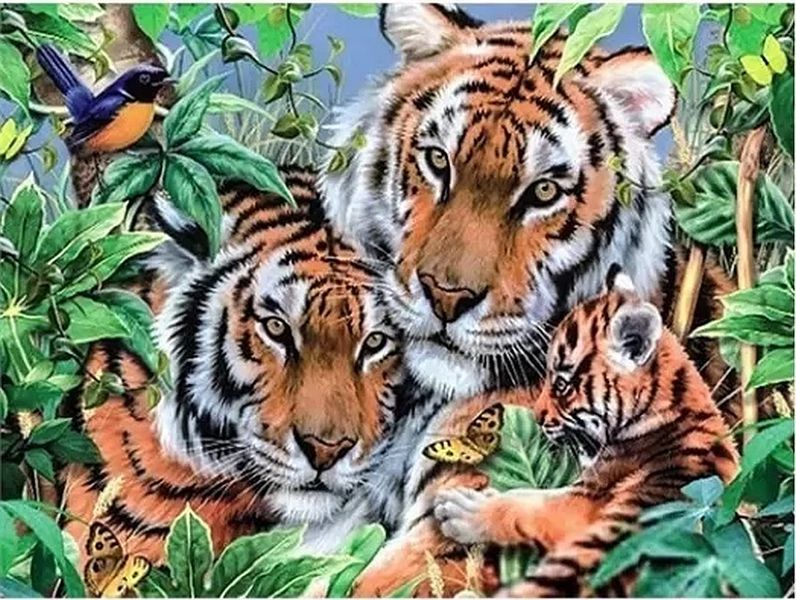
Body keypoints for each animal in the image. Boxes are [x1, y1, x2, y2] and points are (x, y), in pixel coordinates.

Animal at [433, 268, 739, 597]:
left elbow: (526, 501)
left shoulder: (585, 498)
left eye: (562, 385)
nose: (537, 417)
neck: (674, 405)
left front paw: (461, 508)